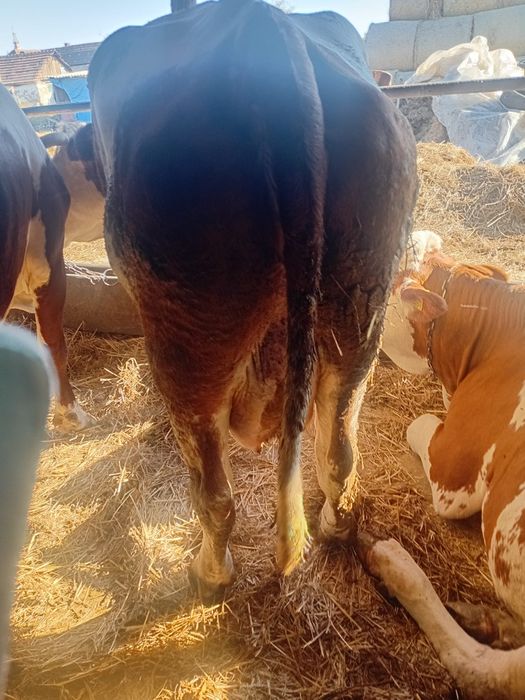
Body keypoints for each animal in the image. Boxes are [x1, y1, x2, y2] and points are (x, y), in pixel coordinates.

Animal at [84, 0, 417, 599]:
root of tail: (267, 30)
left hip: (190, 341)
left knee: (214, 492)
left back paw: (209, 576)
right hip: (360, 314)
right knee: (339, 451)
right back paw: (334, 527)